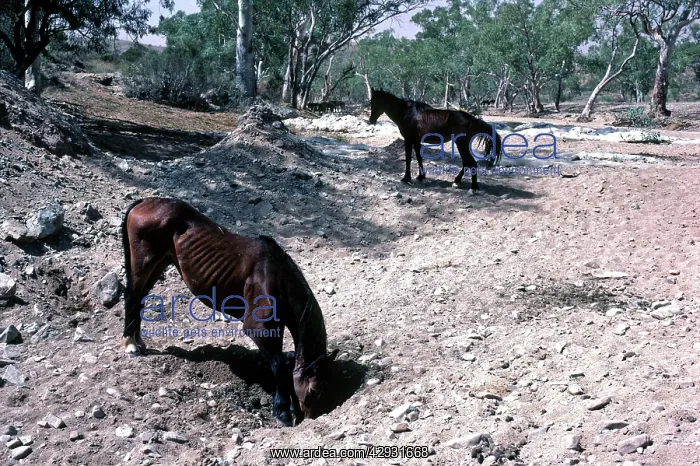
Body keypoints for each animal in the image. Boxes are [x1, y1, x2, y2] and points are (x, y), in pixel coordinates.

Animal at [121, 197, 337, 426]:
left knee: (139, 299)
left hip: (160, 262)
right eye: (314, 390)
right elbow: (278, 366)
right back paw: (130, 344)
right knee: (132, 296)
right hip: (145, 261)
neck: (276, 275)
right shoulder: (259, 328)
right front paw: (282, 412)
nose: (311, 417)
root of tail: (145, 202)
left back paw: (137, 341)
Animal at [369, 88, 502, 192]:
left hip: (461, 144)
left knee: (472, 163)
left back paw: (473, 188)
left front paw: (406, 178)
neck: (407, 114)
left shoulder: (408, 140)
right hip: (462, 145)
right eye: (371, 102)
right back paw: (457, 181)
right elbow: (419, 158)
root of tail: (472, 119)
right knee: (466, 163)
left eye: (378, 103)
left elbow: (408, 159)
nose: (371, 120)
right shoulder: (416, 141)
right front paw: (421, 176)